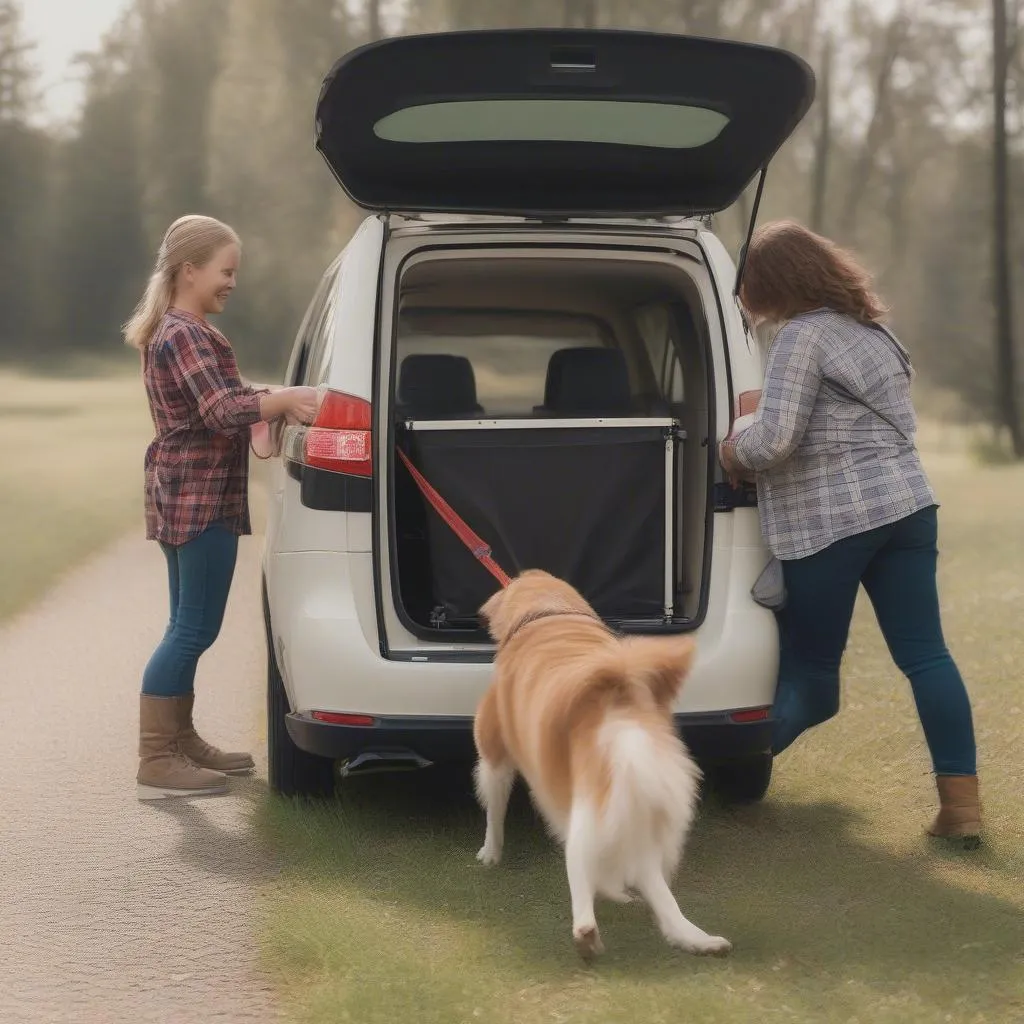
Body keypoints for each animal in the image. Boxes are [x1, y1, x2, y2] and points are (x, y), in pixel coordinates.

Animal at [475, 573, 733, 954]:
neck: (548, 613)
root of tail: (620, 719)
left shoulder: (495, 758)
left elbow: (494, 812)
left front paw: (489, 854)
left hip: (586, 813)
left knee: (582, 869)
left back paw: (586, 931)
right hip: (640, 811)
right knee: (656, 888)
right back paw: (694, 938)